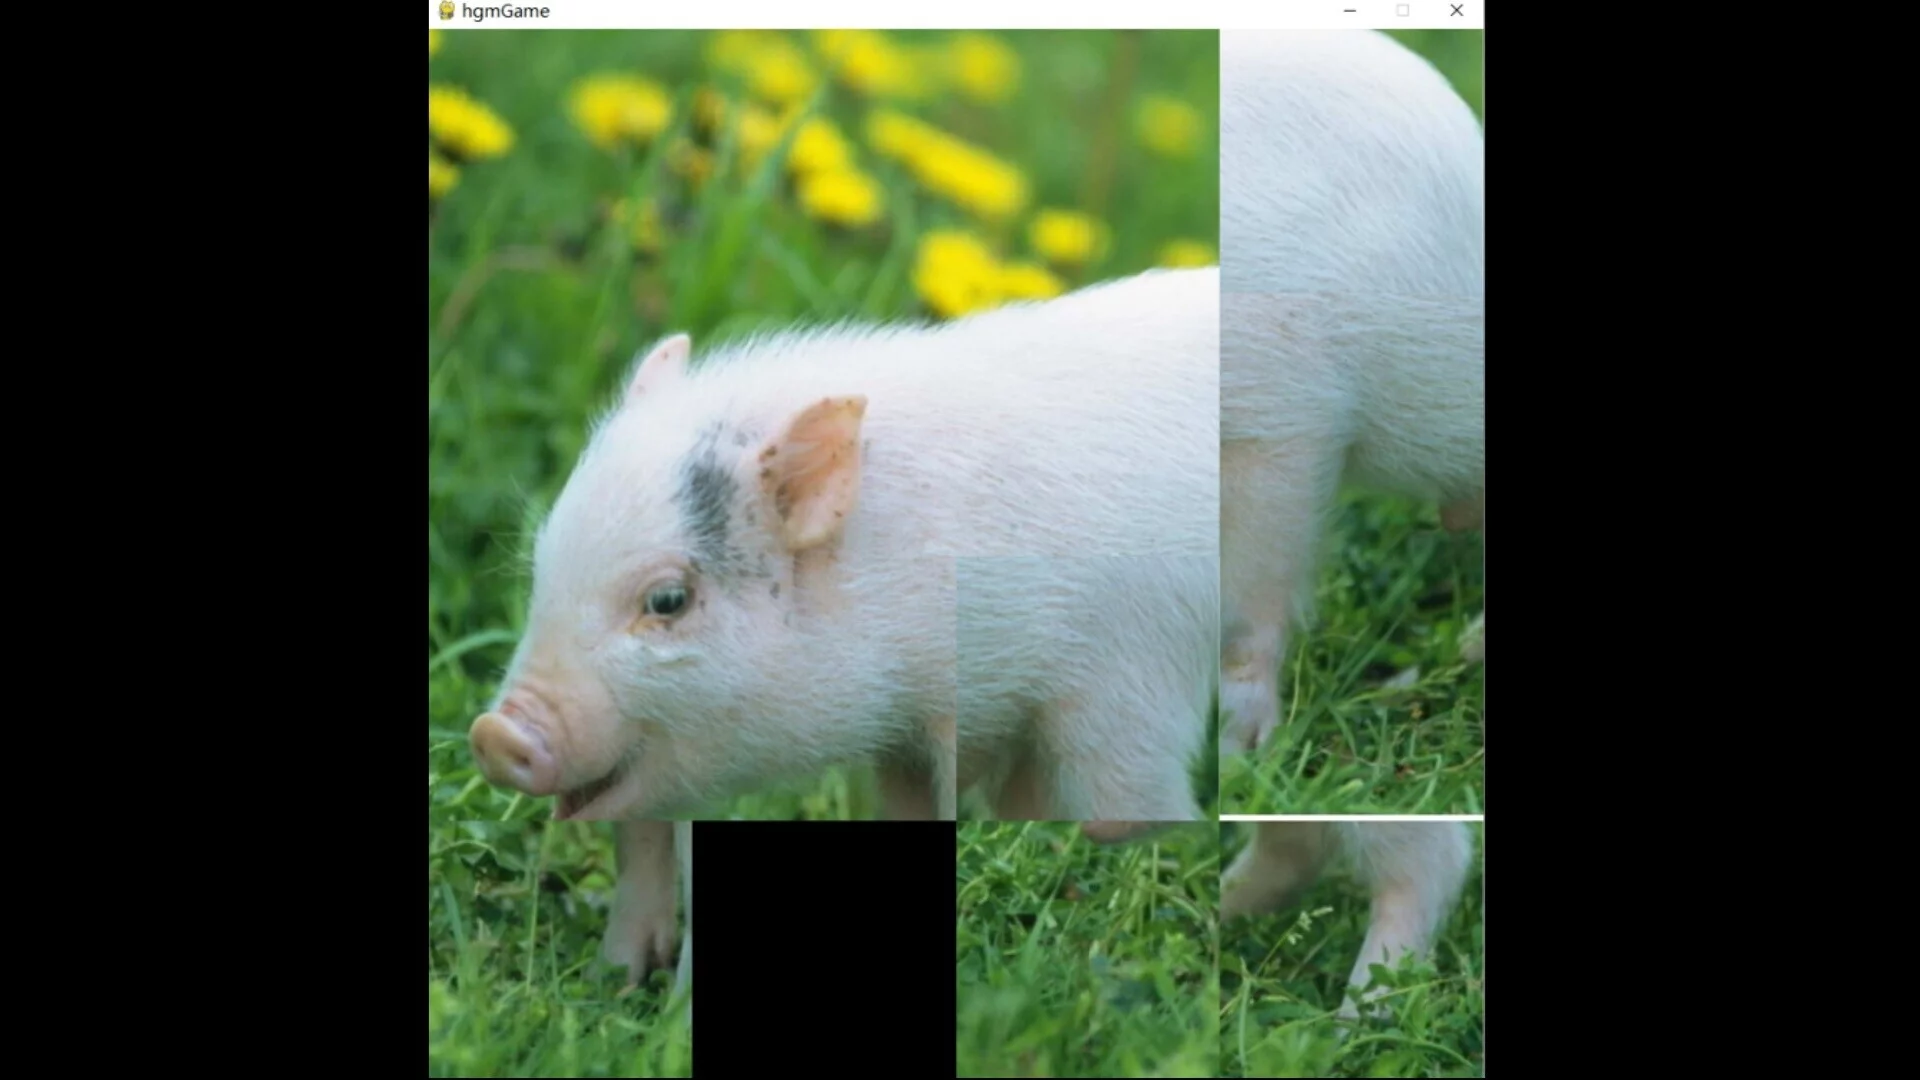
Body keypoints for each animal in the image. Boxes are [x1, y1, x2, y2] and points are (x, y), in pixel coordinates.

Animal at [467, 267, 1220, 824]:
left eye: (669, 599)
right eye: (542, 566)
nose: (494, 735)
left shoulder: (1131, 675)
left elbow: (1129, 795)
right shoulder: (915, 744)